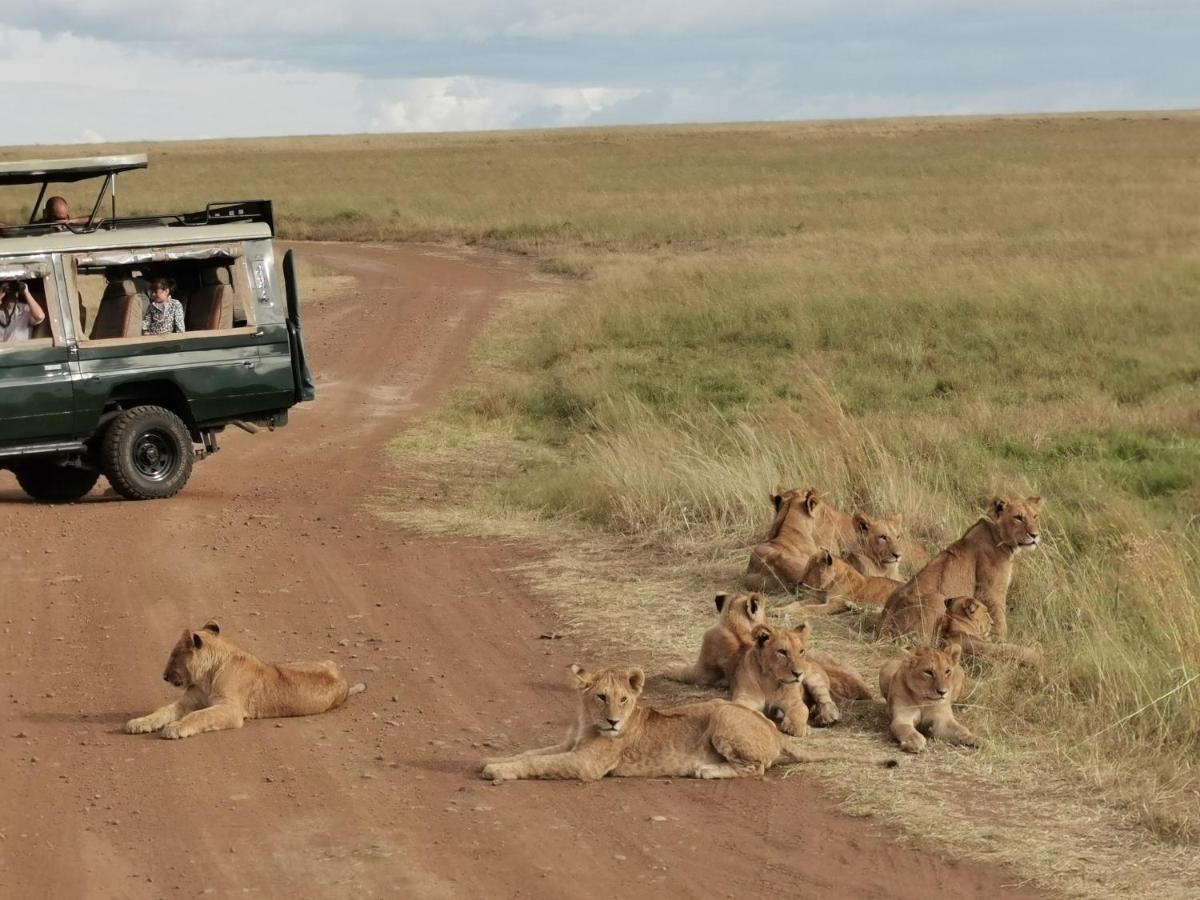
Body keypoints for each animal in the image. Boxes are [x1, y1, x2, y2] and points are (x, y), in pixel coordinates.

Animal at [124, 624, 364, 744]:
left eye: (174, 655)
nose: (164, 676)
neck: (206, 677)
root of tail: (343, 679)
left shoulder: (231, 709)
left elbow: (199, 716)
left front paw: (175, 728)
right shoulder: (189, 701)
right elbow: (163, 711)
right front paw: (138, 723)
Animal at [477, 662, 892, 782]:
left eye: (624, 700)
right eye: (601, 696)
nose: (613, 722)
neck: (586, 721)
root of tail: (775, 731)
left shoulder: (586, 765)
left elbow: (539, 762)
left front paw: (497, 770)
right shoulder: (569, 745)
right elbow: (532, 752)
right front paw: (494, 759)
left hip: (723, 714)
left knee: (755, 769)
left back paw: (707, 770)